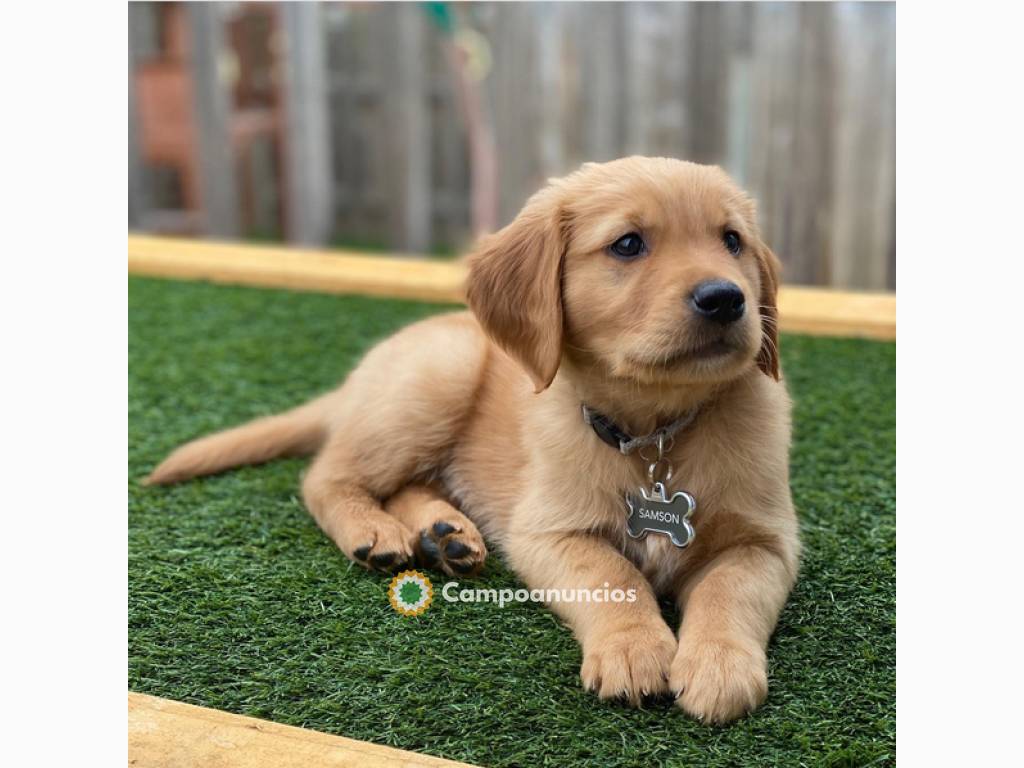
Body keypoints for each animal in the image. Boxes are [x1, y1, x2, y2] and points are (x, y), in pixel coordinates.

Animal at [146, 157, 798, 729]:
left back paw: (445, 533)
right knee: (326, 476)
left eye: (733, 241)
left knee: (408, 482)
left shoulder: (768, 542)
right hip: (439, 374)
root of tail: (355, 382)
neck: (654, 434)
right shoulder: (548, 531)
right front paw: (634, 649)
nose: (726, 298)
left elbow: (728, 588)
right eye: (628, 244)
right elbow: (612, 573)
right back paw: (375, 531)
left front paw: (719, 666)